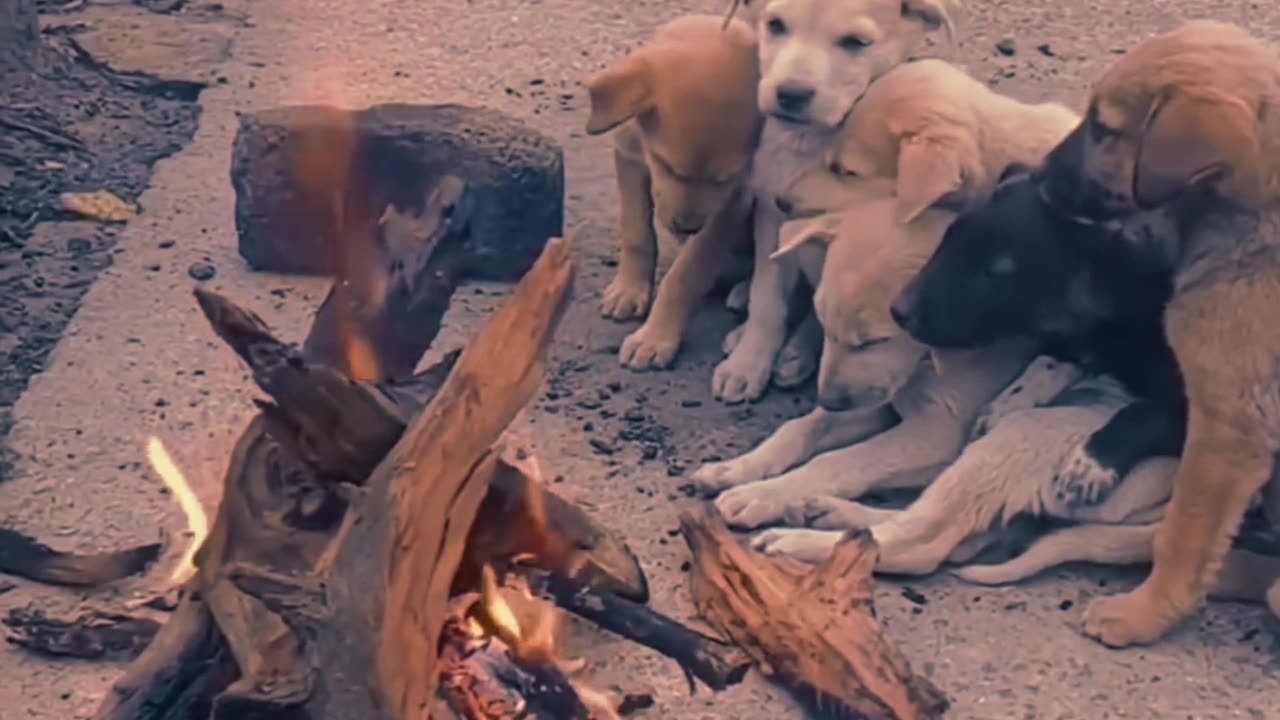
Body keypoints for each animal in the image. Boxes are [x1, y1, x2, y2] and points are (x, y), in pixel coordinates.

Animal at [586, 15, 757, 368]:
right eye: (664, 164)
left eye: (724, 179)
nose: (687, 228)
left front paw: (655, 337)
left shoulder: (732, 205)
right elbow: (637, 233)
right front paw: (629, 289)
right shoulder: (628, 155)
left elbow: (685, 275)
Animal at [890, 167, 1177, 504]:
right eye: (949, 234)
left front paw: (1088, 464)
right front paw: (1009, 401)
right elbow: (1051, 358)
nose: (897, 311)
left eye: (997, 270)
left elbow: (1141, 413)